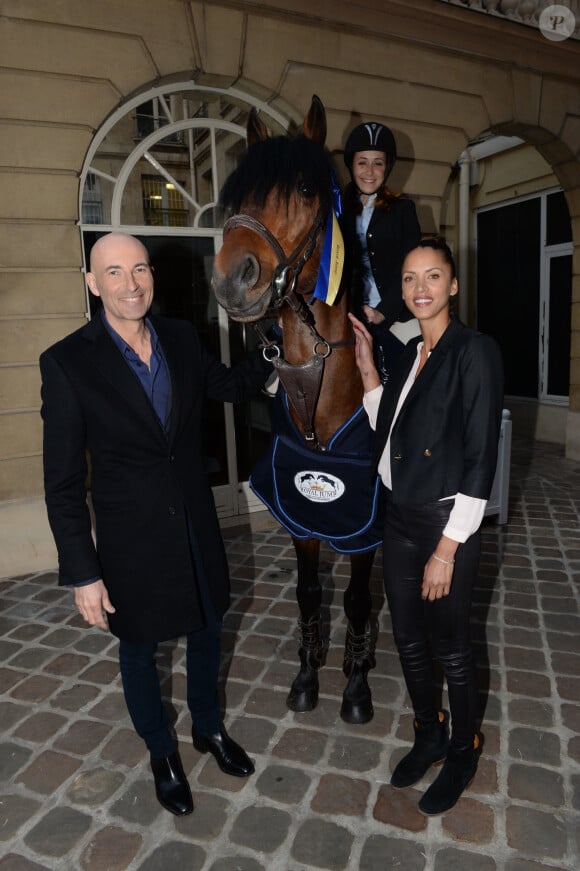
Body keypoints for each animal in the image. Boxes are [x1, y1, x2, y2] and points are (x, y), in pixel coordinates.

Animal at [212, 95, 380, 724]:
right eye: (237, 195)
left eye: (307, 189)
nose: (232, 280)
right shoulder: (301, 513)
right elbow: (309, 593)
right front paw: (309, 673)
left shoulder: (363, 524)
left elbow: (357, 597)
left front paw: (354, 686)